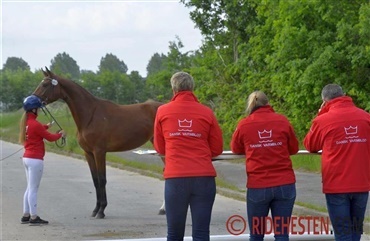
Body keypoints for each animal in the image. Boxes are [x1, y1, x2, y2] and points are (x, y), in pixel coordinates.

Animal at [33, 67, 163, 218]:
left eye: (45, 85)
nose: (31, 100)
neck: (90, 115)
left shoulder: (99, 152)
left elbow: (102, 179)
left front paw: (101, 211)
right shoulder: (88, 153)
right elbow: (95, 180)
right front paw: (96, 209)